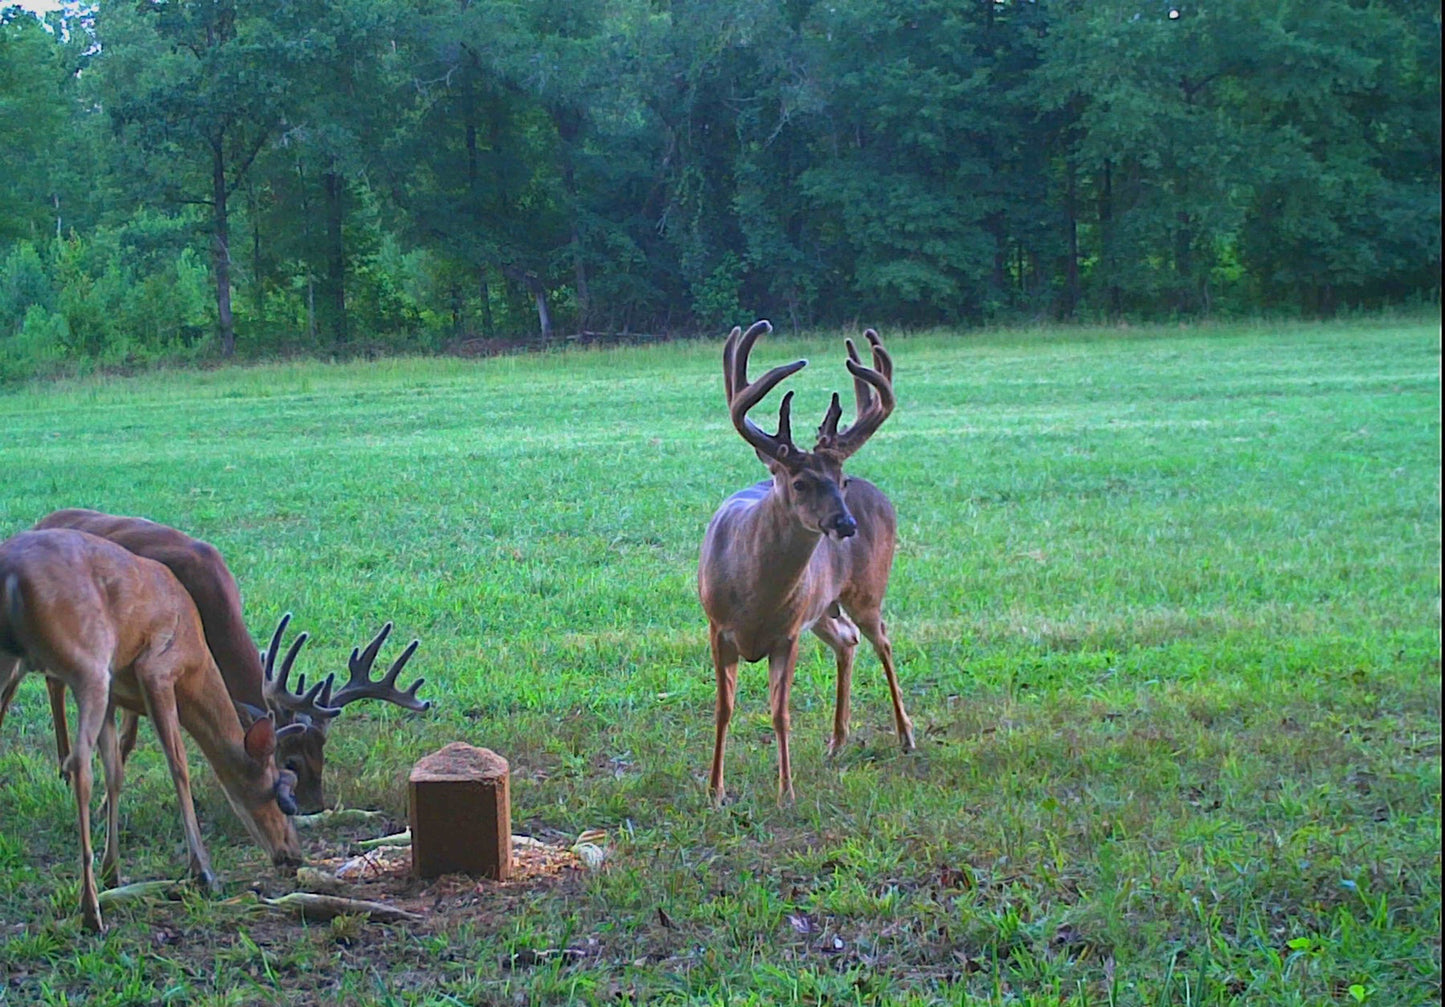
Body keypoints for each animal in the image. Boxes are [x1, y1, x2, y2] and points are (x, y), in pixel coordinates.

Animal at [0, 508, 429, 814]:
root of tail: (41, 521)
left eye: (322, 758)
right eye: (291, 762)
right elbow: (133, 736)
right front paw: (108, 803)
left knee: (53, 679)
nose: (316, 806)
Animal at [0, 528, 303, 932]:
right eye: (280, 796)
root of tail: (11, 574)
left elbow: (116, 771)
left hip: (18, 661)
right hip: (87, 663)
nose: (294, 856)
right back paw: (91, 909)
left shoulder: (117, 687)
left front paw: (114, 869)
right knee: (79, 765)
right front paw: (203, 871)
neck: (196, 655)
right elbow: (178, 767)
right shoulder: (156, 669)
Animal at [698, 320, 915, 806]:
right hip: (822, 608)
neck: (754, 597)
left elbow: (780, 713)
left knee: (882, 640)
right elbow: (724, 708)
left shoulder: (788, 633)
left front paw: (786, 792)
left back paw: (906, 735)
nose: (846, 524)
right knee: (847, 641)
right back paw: (837, 741)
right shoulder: (717, 626)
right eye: (799, 482)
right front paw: (715, 790)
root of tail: (881, 496)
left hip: (866, 589)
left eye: (841, 480)